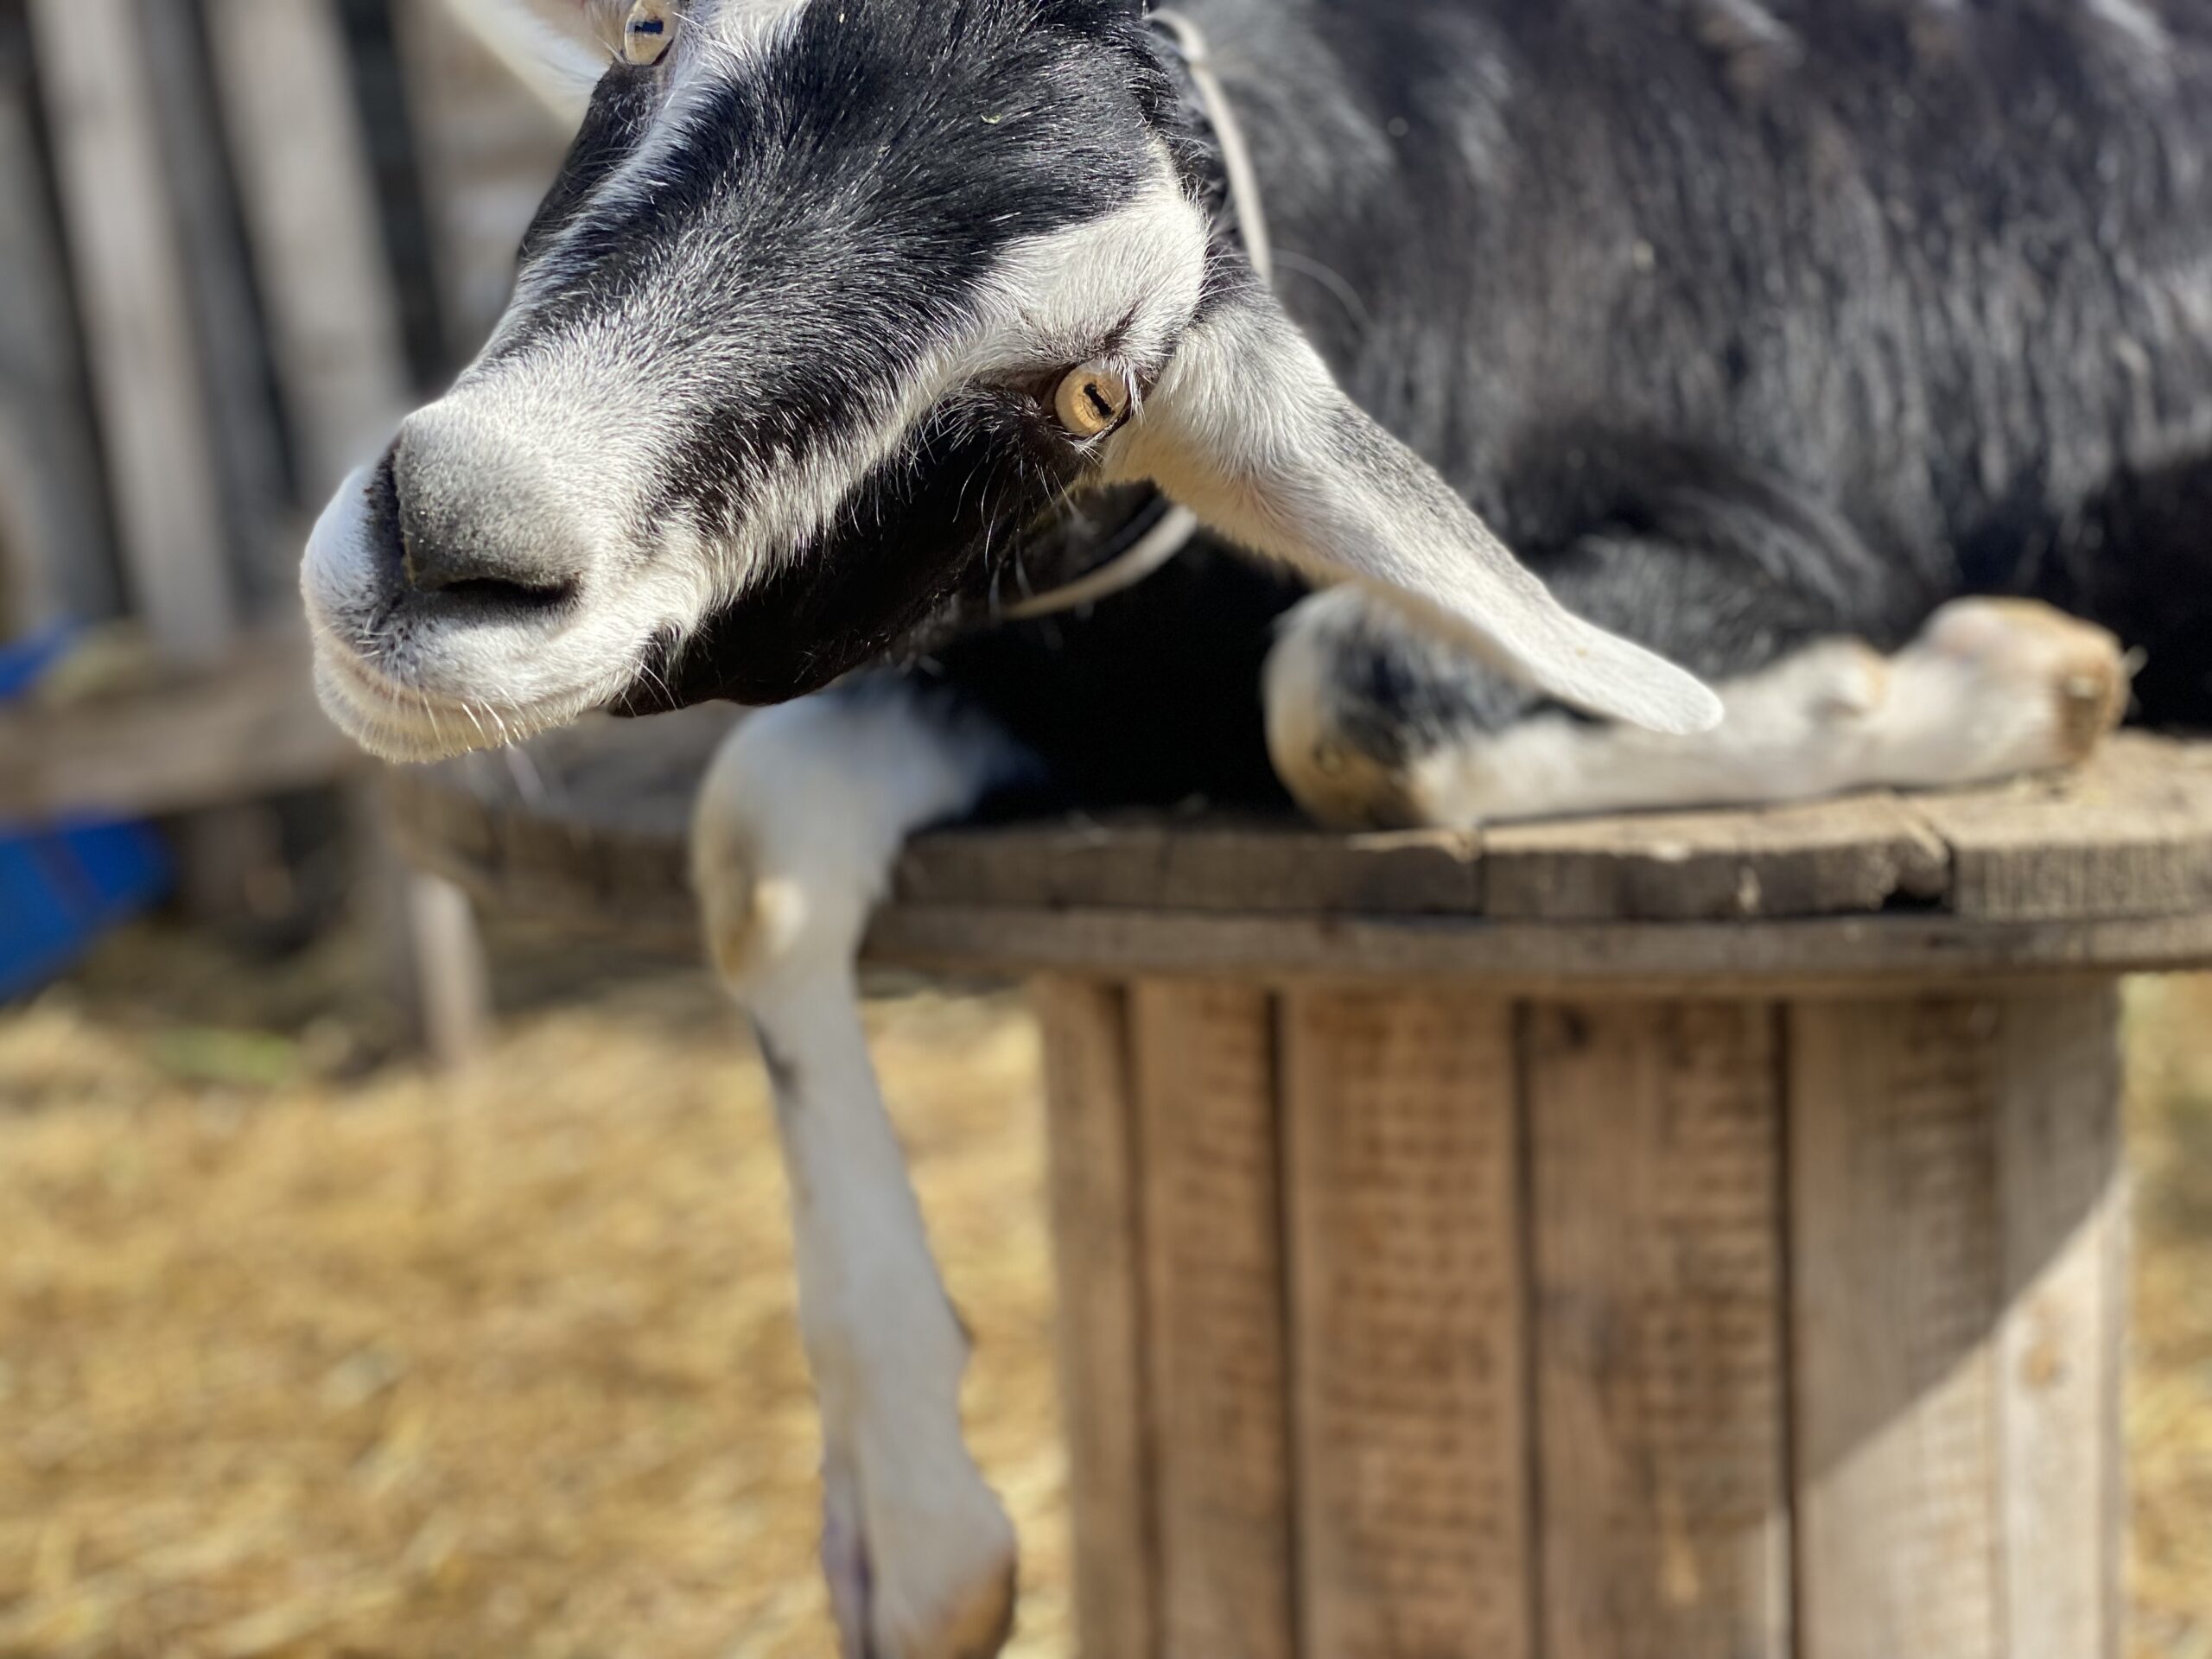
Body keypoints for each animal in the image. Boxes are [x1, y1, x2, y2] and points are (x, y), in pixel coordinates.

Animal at [302, 2, 2212, 1653]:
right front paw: (917, 1542)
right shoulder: (1045, 670)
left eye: (1089, 389)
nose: (453, 534)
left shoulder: (1785, 542)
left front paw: (2024, 681)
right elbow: (757, 855)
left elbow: (1339, 696)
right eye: (648, 29)